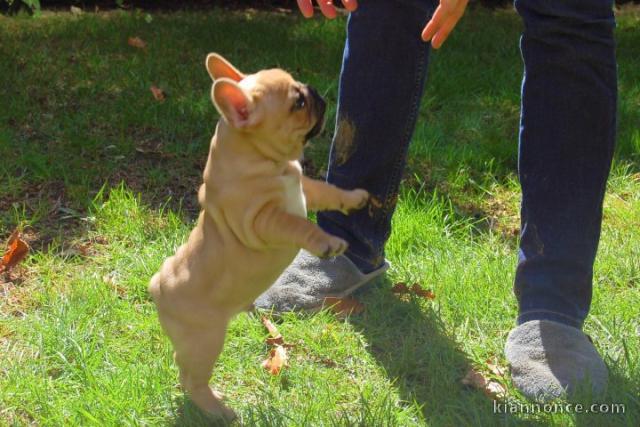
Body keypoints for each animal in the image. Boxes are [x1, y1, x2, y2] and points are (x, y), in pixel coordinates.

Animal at [149, 54, 368, 422]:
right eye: (297, 103)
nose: (314, 91)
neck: (260, 157)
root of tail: (157, 286)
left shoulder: (305, 189)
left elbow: (327, 190)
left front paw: (354, 198)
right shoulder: (262, 221)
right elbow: (297, 225)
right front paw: (326, 242)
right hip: (205, 340)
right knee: (191, 377)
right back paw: (218, 409)